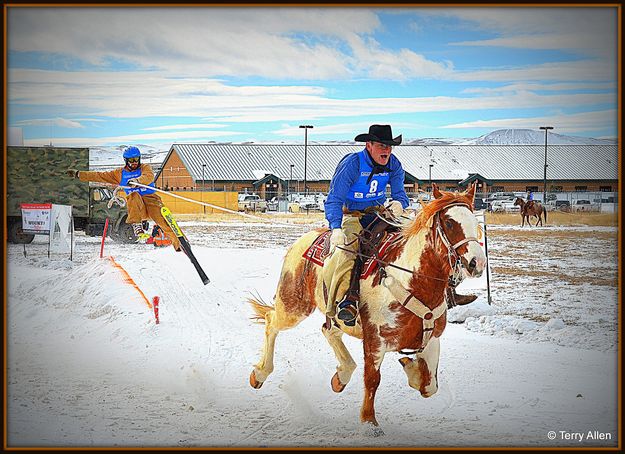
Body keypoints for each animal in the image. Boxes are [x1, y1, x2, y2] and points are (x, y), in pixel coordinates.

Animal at [246, 182, 486, 432]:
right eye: (449, 223)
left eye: (475, 222)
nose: (476, 263)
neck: (411, 281)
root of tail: (305, 239)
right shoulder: (375, 341)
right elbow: (372, 380)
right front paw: (369, 421)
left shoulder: (432, 339)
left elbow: (430, 385)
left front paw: (411, 369)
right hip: (293, 305)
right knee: (271, 322)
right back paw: (260, 373)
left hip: (331, 313)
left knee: (328, 330)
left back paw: (342, 375)